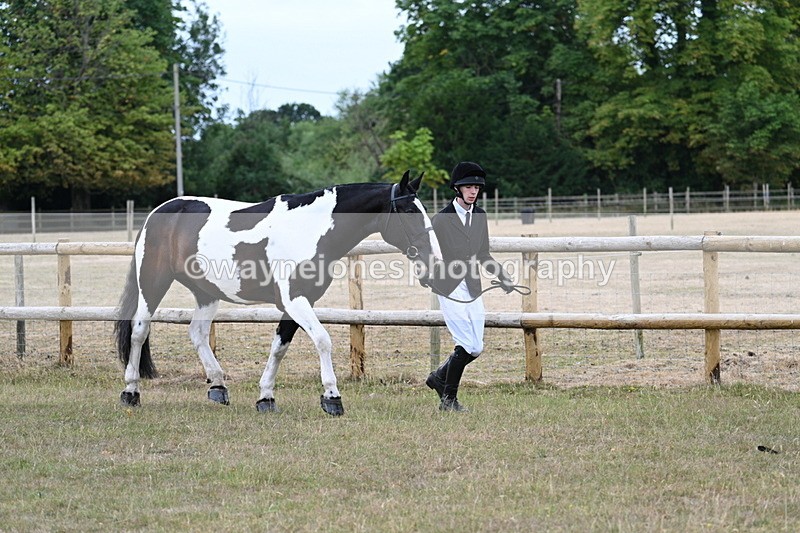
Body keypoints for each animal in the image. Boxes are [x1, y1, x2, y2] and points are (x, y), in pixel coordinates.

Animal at [114, 171, 441, 416]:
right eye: (409, 211)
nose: (434, 261)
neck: (308, 229)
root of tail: (159, 212)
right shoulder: (295, 301)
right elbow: (323, 340)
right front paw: (332, 397)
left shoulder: (295, 304)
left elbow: (279, 348)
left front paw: (266, 397)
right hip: (153, 283)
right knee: (139, 332)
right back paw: (131, 392)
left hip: (206, 292)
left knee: (196, 333)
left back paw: (218, 386)